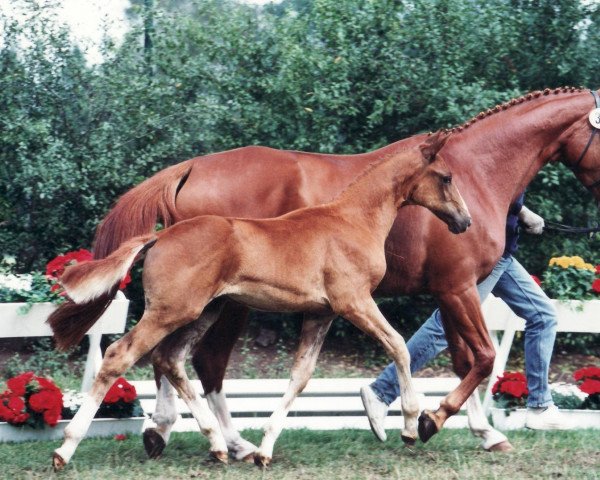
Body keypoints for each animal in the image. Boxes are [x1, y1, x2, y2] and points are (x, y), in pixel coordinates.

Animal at [49, 132, 472, 468]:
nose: (464, 222)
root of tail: (159, 236)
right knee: (121, 355)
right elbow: (398, 345)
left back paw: (219, 445)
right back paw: (65, 450)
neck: (352, 221)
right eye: (447, 177)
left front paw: (266, 450)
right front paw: (411, 426)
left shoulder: (321, 314)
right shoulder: (354, 302)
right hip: (171, 311)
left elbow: (300, 376)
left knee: (171, 359)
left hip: (204, 311)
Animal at [95, 86, 600, 458]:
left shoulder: (453, 290)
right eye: (447, 179)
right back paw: (228, 442)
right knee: (202, 361)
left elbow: (464, 358)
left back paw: (172, 432)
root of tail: (191, 167)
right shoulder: (456, 288)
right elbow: (481, 357)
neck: (478, 170)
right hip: (224, 303)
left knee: (172, 356)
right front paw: (428, 420)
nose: (465, 222)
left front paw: (475, 430)